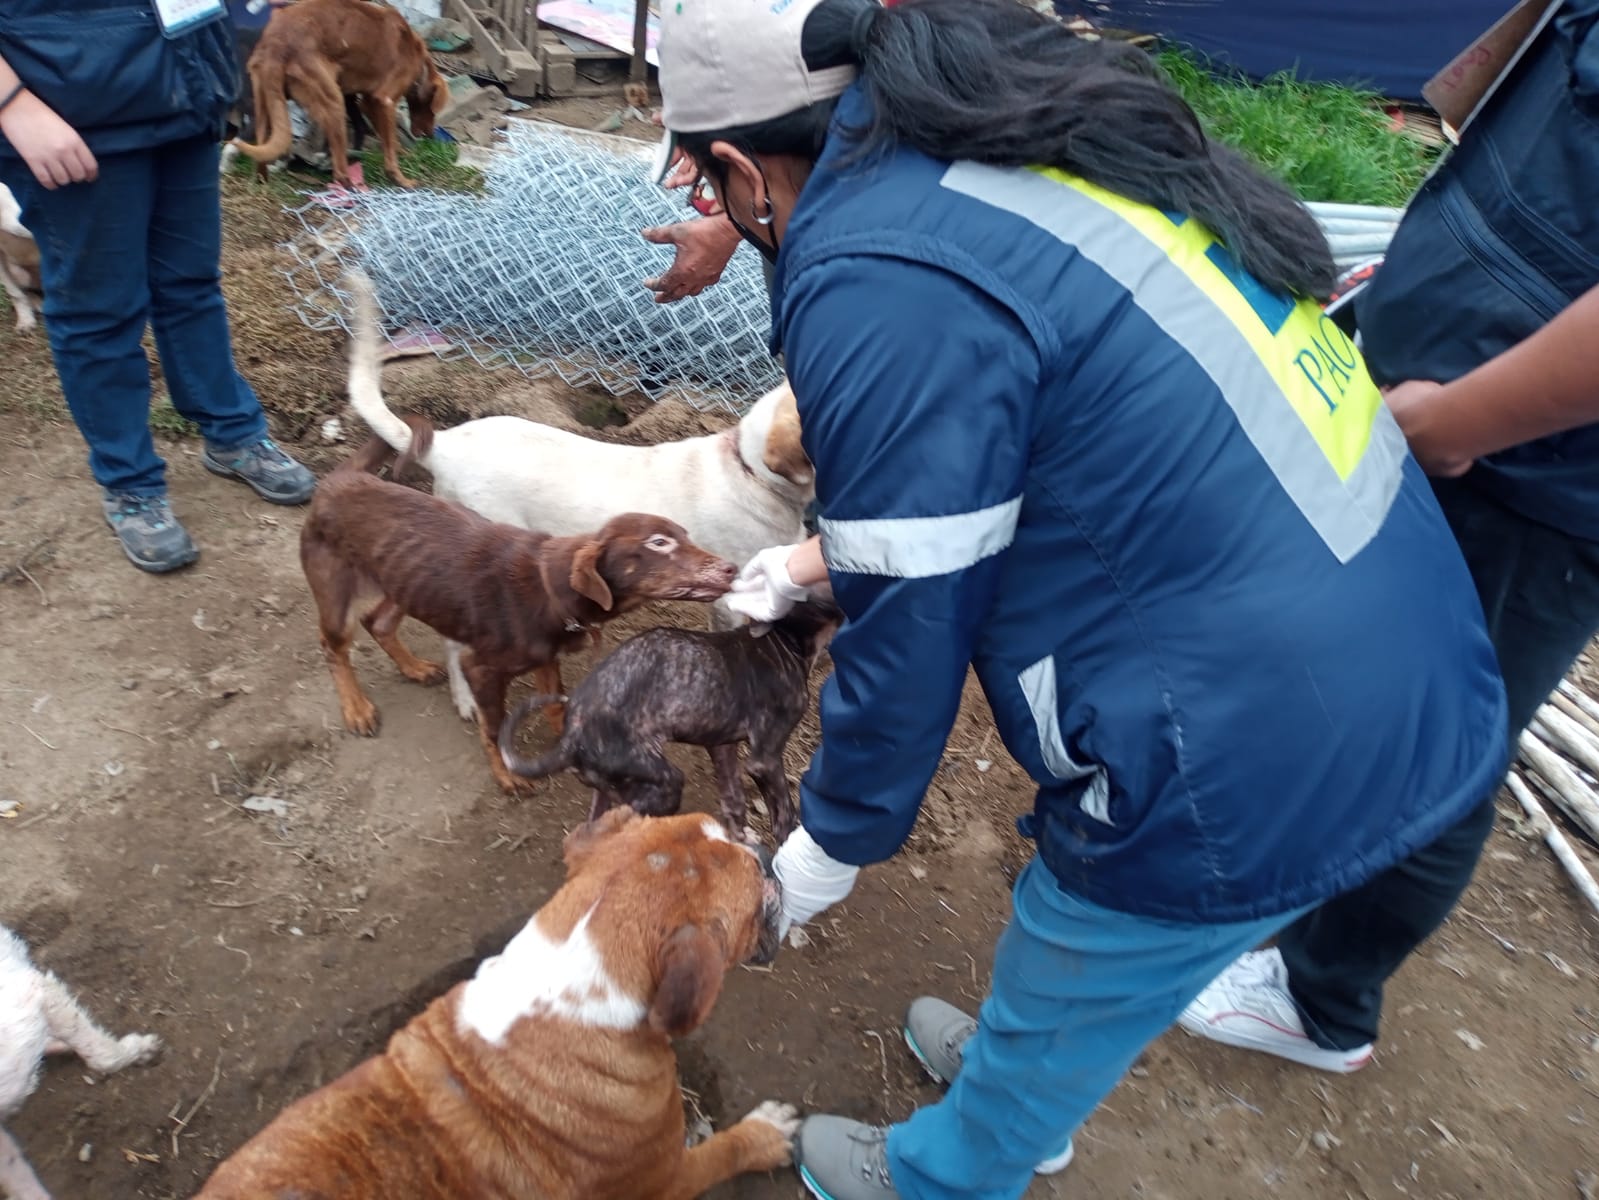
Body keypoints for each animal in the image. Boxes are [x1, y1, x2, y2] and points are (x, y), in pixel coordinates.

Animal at [196, 809, 796, 1200]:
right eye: (755, 895)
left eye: (730, 831)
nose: (764, 851)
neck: (570, 982)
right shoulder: (664, 1181)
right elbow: (722, 1152)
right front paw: (765, 1135)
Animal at [231, 0, 447, 188]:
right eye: (433, 110)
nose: (430, 136)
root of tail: (276, 45)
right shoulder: (383, 101)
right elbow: (390, 148)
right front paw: (400, 179)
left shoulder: (368, 101)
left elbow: (388, 140)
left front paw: (400, 152)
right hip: (333, 101)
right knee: (340, 172)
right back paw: (351, 187)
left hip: (263, 104)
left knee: (261, 153)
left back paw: (262, 180)